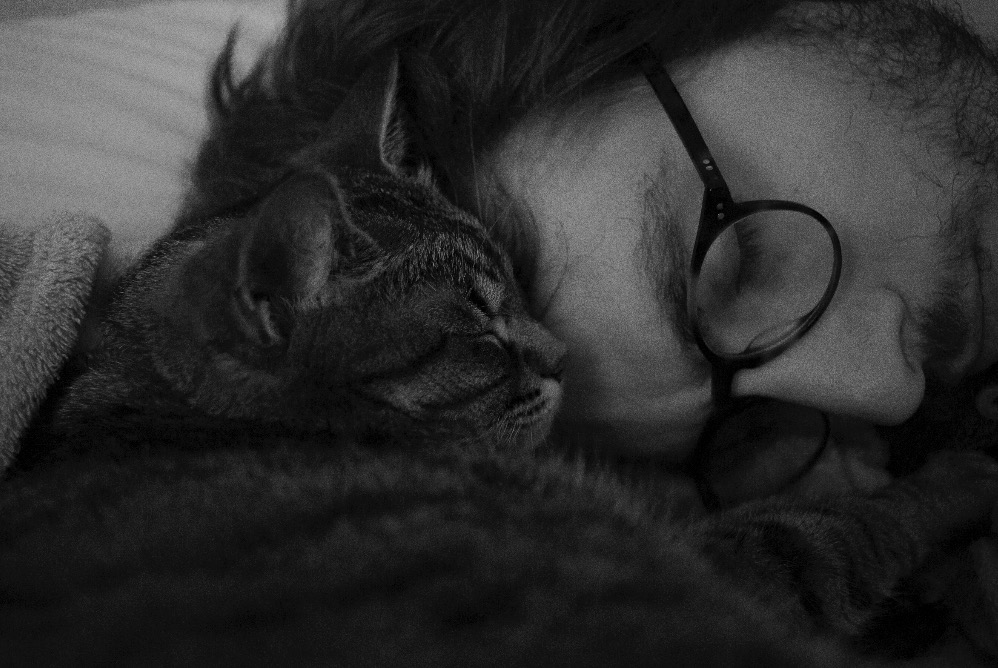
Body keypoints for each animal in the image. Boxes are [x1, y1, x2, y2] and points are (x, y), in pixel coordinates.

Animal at [3, 46, 998, 667]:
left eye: (516, 286)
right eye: (479, 334)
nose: (564, 353)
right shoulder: (735, 561)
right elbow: (846, 523)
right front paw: (958, 468)